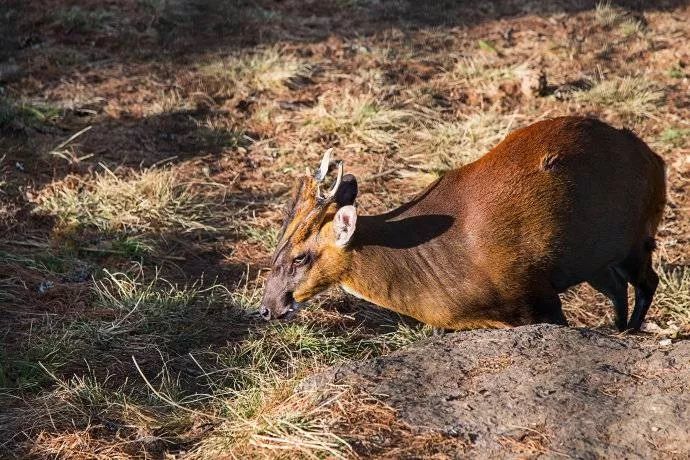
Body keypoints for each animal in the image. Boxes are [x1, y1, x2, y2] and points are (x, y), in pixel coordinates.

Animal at [256, 115, 660, 330]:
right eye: (275, 253)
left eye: (300, 257)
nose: (266, 307)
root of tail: (654, 158)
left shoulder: (536, 296)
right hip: (594, 259)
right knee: (618, 288)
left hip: (636, 236)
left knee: (647, 281)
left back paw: (627, 332)